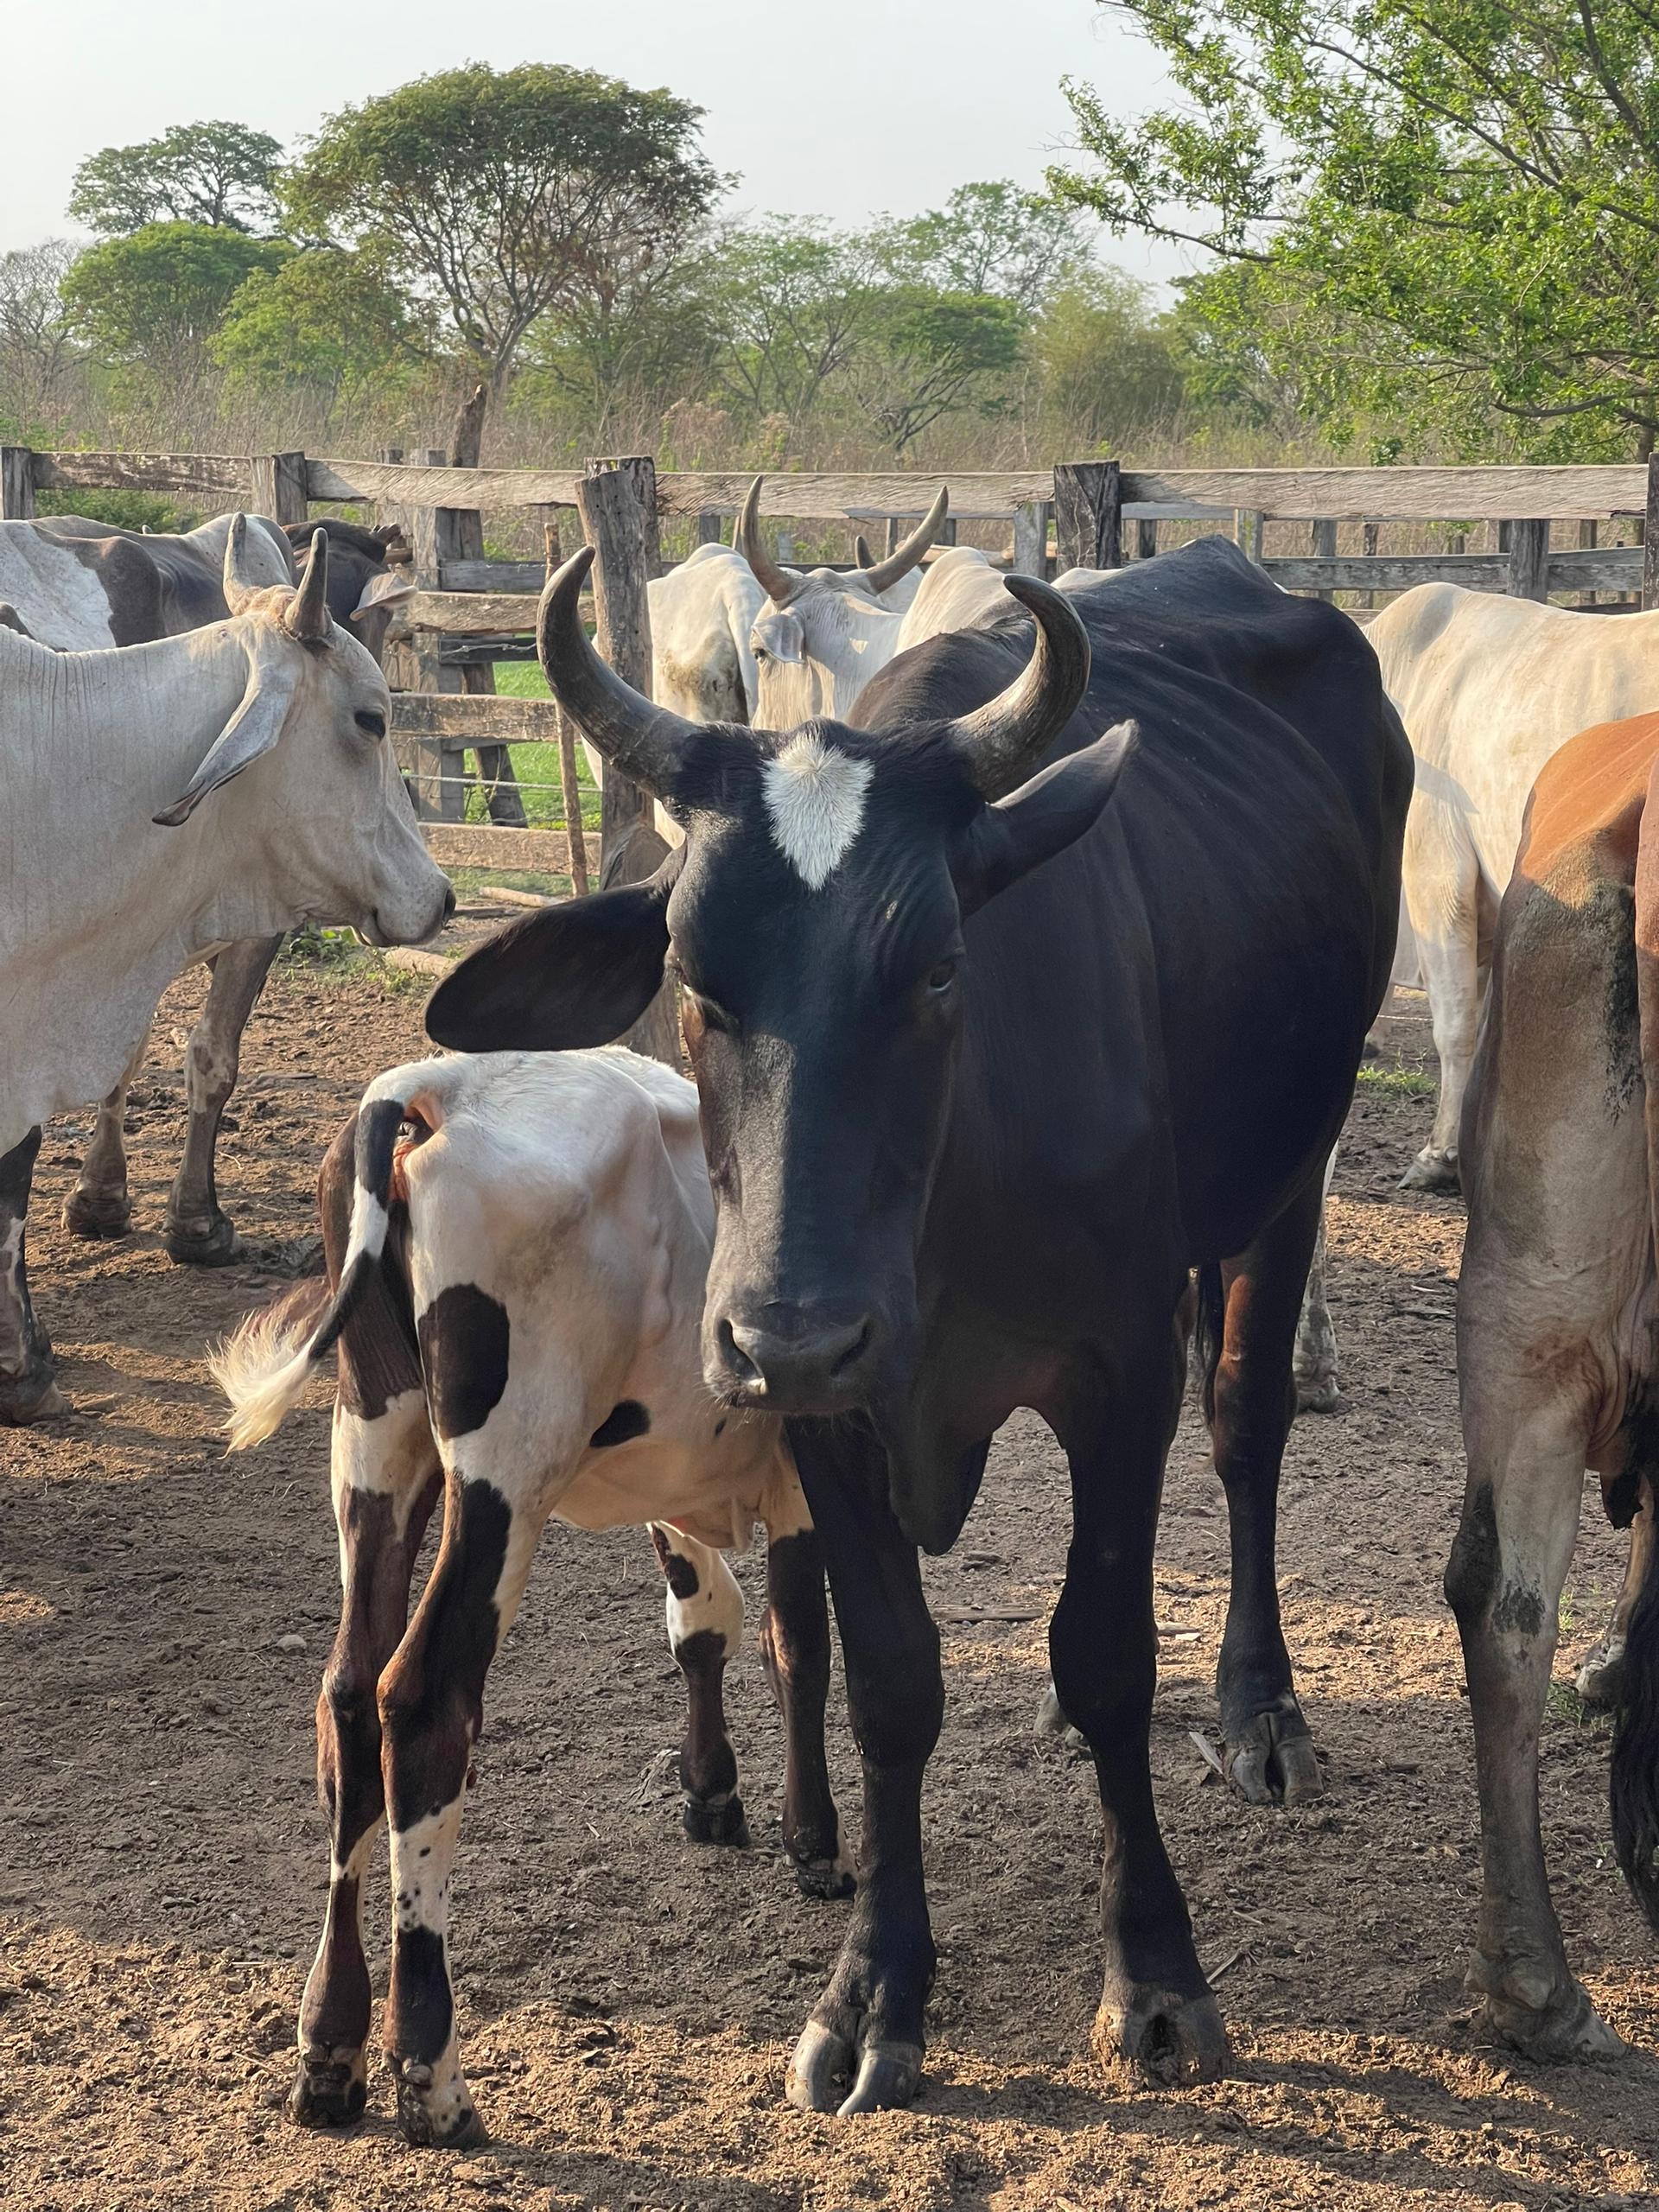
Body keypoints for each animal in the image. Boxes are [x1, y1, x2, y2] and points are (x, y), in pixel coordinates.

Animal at [0, 521, 451, 1423]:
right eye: (372, 718)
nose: (441, 897)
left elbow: (125, 1065)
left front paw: (102, 1201)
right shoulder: (247, 925)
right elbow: (209, 1057)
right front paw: (194, 1226)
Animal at [211, 1046, 850, 2146]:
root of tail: (427, 1091)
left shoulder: (678, 1475)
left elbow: (702, 1625)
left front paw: (711, 1787)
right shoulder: (807, 1469)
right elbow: (795, 1642)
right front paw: (812, 1838)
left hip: (377, 1442)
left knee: (347, 1700)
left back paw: (330, 2046)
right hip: (508, 1471)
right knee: (423, 1703)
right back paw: (431, 2075)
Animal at [424, 535, 1411, 2116]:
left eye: (941, 964)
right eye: (694, 981)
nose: (786, 1332)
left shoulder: (1116, 1369)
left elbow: (1107, 1648)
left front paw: (1155, 1974)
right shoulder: (830, 1407)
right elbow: (891, 1676)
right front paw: (875, 1989)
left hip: (1289, 1176)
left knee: (1247, 1424)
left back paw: (1261, 1708)